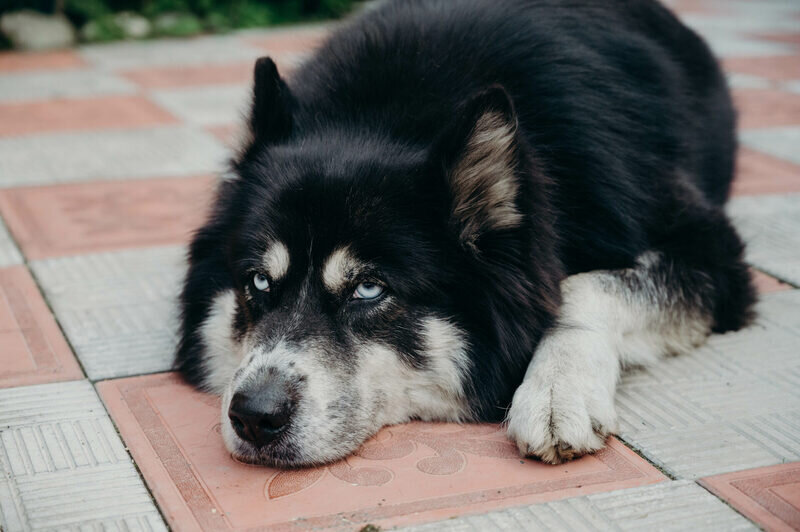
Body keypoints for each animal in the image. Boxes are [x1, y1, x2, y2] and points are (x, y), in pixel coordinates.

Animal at [175, 0, 756, 467]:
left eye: (369, 289)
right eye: (258, 282)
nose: (254, 415)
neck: (389, 117)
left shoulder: (711, 251)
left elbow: (581, 286)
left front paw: (555, 391)